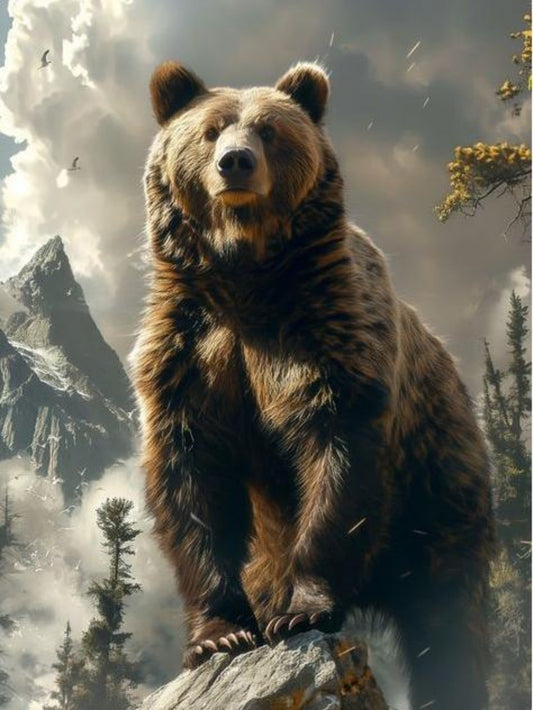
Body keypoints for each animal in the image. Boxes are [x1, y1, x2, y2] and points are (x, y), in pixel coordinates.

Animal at [131, 60, 496, 710]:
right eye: (210, 130)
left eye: (269, 130)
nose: (235, 163)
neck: (246, 282)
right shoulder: (189, 358)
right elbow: (192, 482)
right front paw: (219, 635)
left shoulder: (329, 335)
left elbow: (336, 455)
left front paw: (301, 612)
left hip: (440, 492)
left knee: (447, 620)